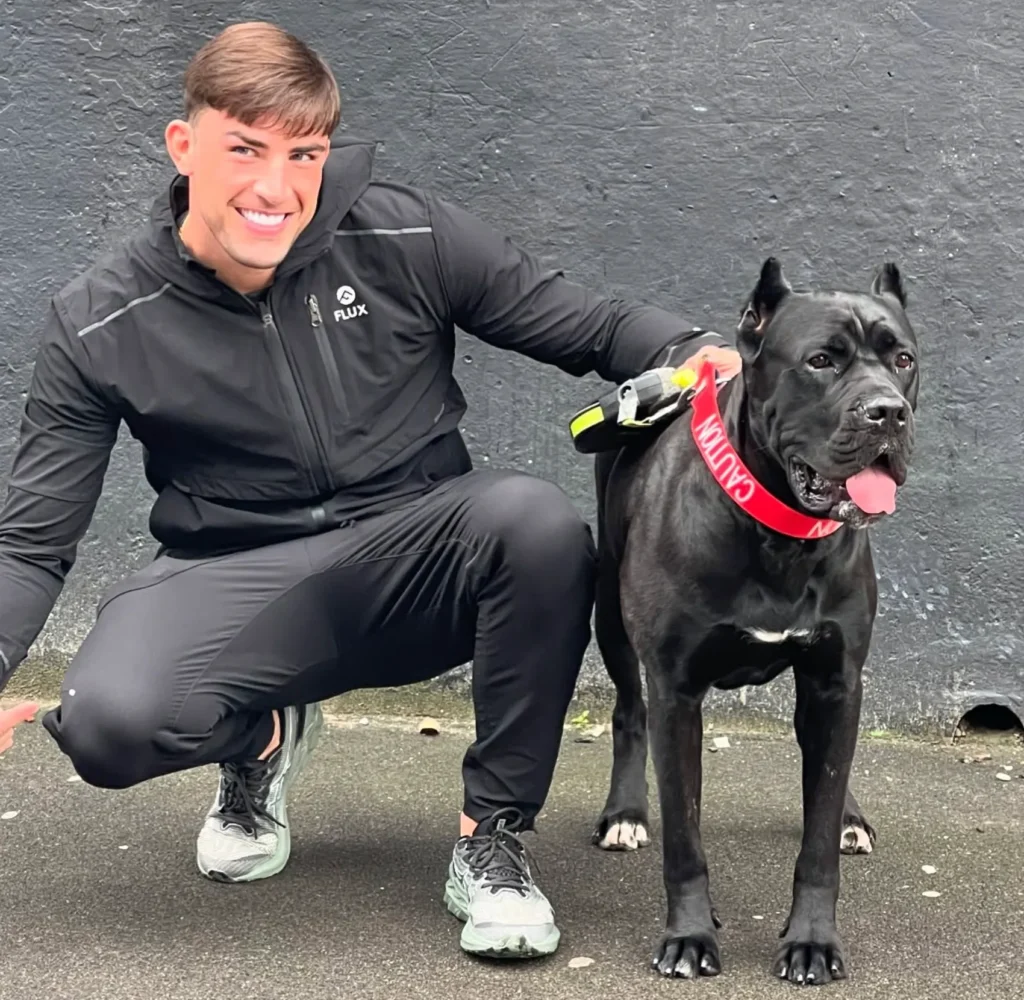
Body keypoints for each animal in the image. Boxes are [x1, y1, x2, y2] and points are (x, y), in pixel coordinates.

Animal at [593, 257, 921, 982]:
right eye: (821, 360)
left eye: (904, 359)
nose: (889, 412)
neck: (782, 534)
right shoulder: (675, 690)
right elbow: (684, 838)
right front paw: (688, 936)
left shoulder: (834, 679)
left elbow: (818, 834)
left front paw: (813, 940)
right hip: (608, 615)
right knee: (628, 711)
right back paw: (625, 813)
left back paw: (850, 813)